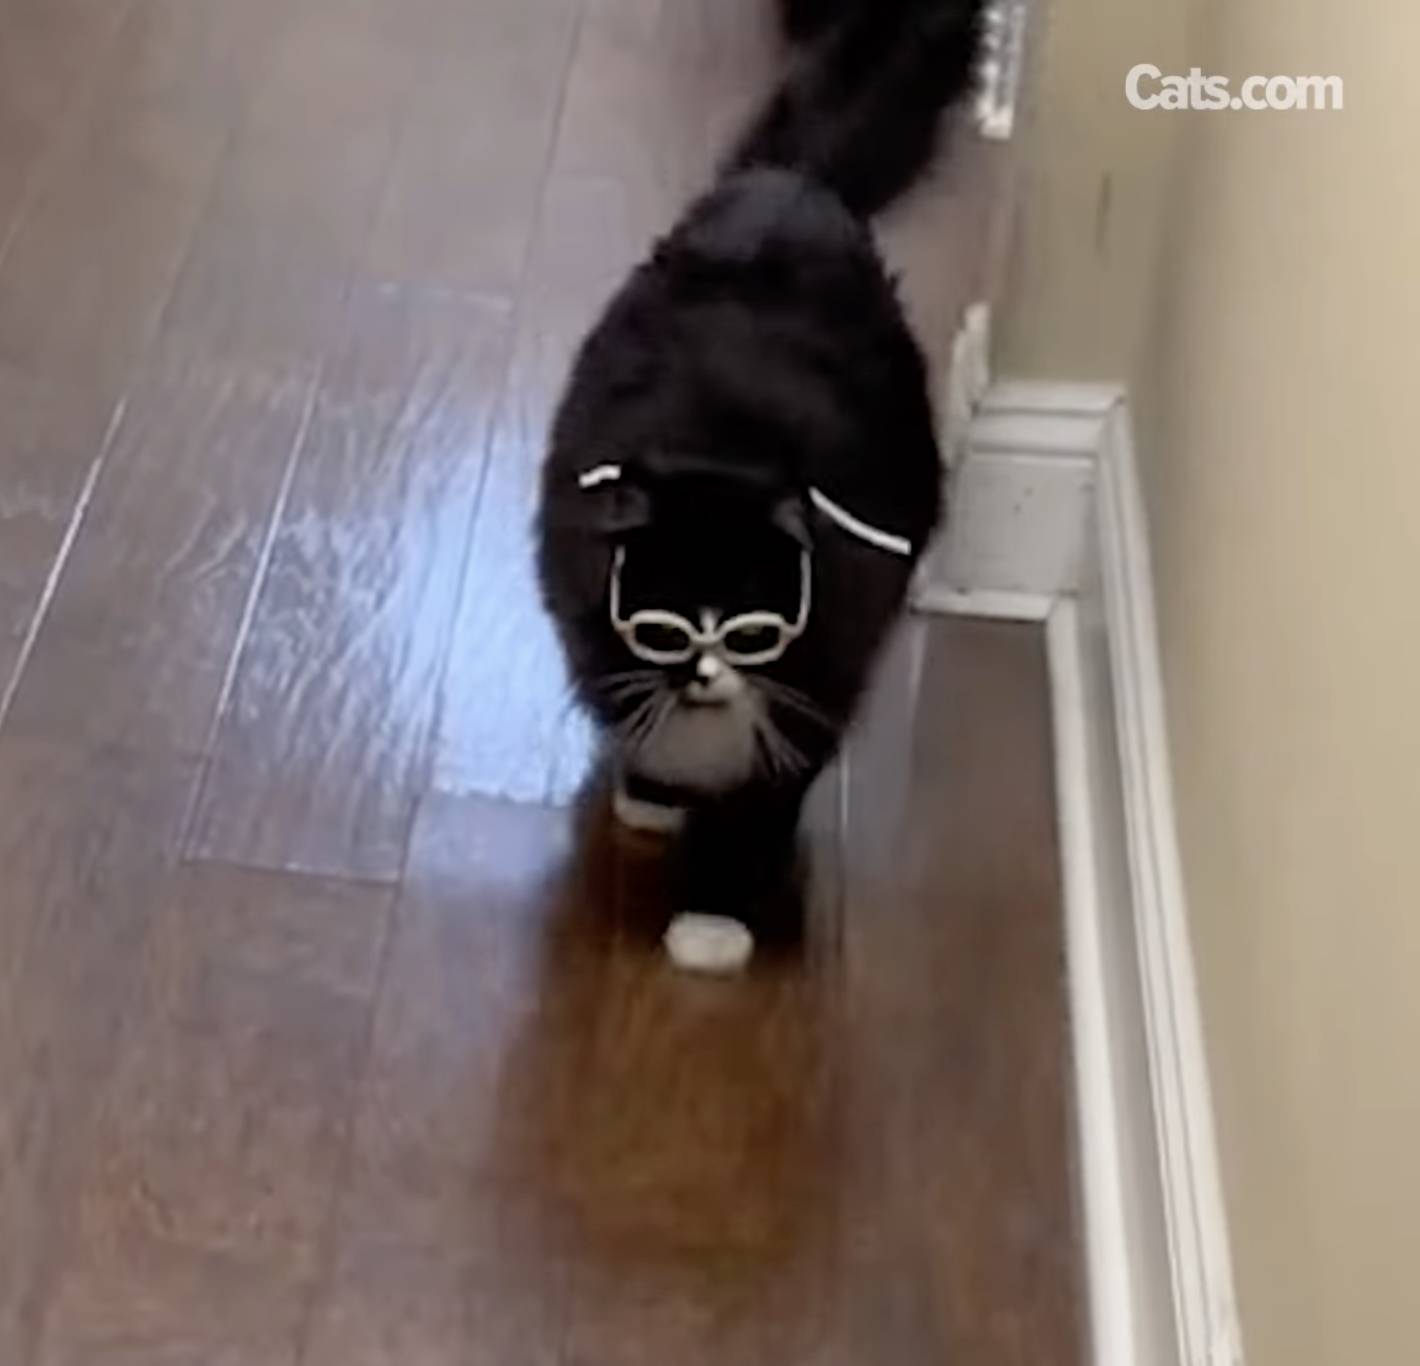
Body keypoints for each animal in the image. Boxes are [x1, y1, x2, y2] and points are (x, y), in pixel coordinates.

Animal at [533, 0, 988, 959]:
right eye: (664, 618)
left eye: (752, 623)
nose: (705, 672)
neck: (724, 451)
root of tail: (793, 183)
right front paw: (651, 800)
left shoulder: (816, 701)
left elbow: (750, 824)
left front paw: (712, 924)